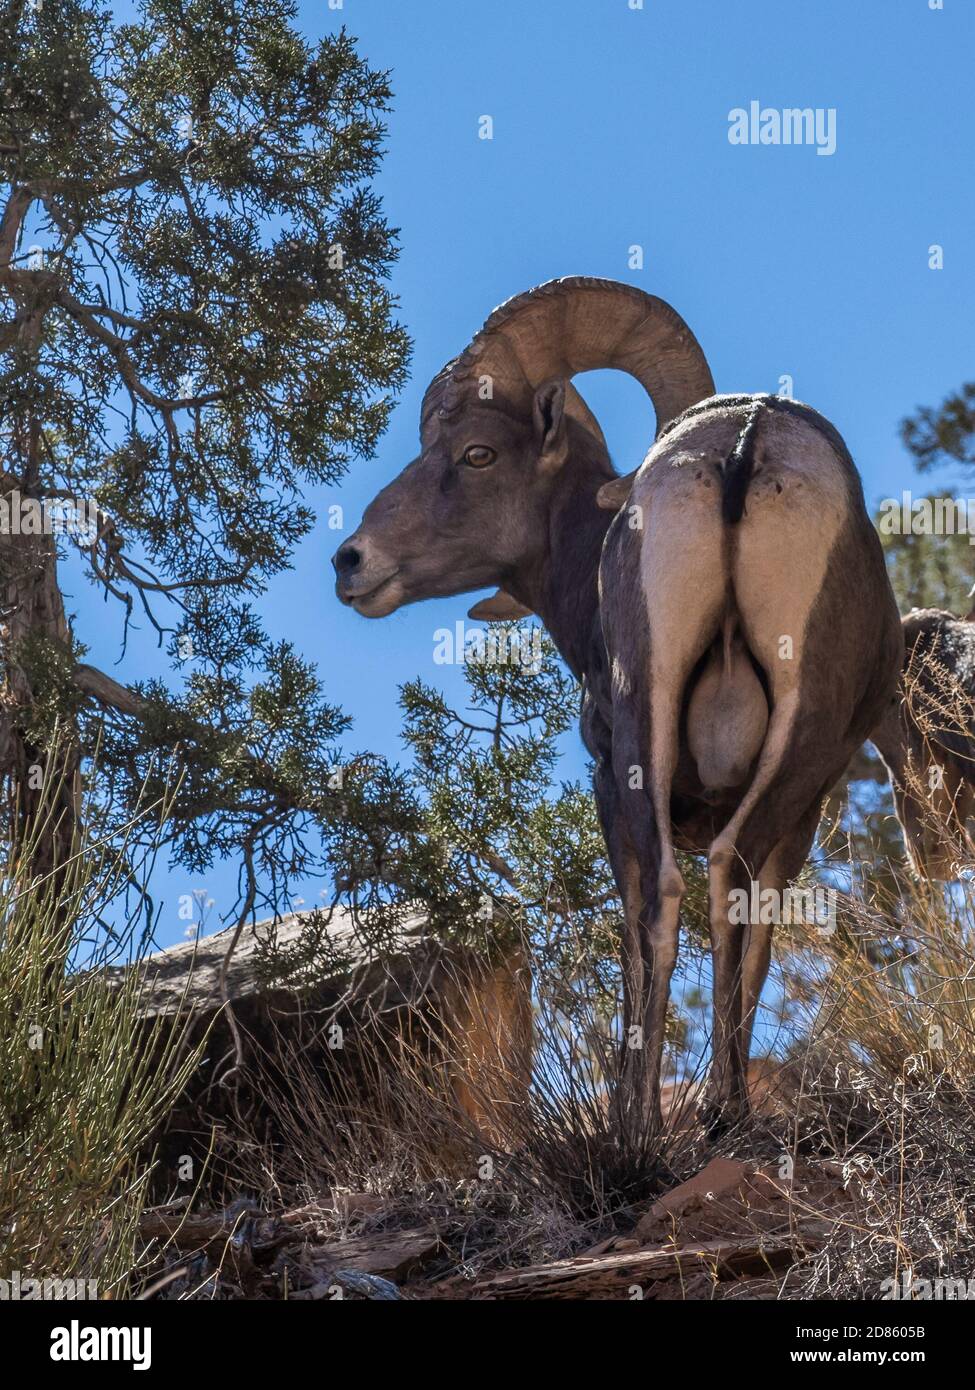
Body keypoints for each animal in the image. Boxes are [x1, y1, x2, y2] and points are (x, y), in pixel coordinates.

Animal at [331, 276, 901, 1134]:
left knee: (673, 895)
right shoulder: (800, 810)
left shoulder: (613, 780)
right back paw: (711, 1110)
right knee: (709, 882)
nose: (351, 562)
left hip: (663, 729)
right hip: (764, 734)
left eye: (475, 453)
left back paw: (661, 1118)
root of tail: (745, 443)